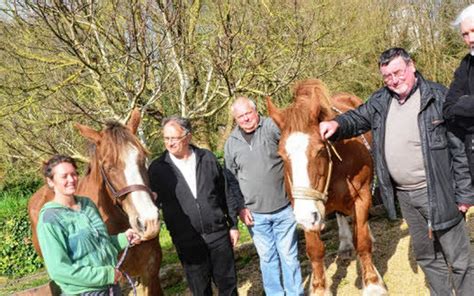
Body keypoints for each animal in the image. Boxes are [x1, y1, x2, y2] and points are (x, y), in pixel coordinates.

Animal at [268, 79, 386, 296]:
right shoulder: (307, 208)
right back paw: (345, 244)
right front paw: (319, 288)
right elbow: (315, 250)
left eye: (320, 149)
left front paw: (373, 283)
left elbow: (362, 241)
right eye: (280, 155)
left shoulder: (362, 195)